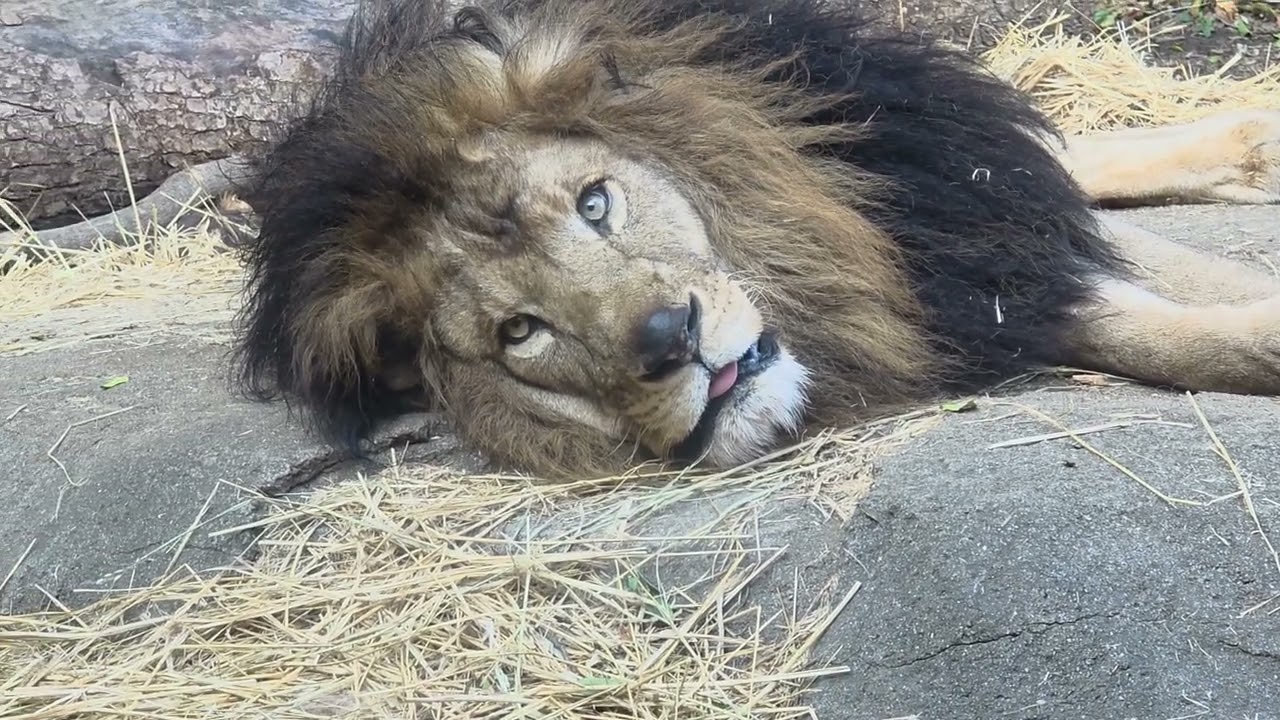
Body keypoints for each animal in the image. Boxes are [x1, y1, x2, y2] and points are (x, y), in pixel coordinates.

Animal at [233, 0, 1280, 480]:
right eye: (519, 333)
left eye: (595, 205)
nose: (672, 341)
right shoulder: (969, 285)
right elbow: (1143, 322)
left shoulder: (954, 222)